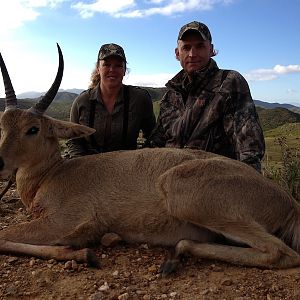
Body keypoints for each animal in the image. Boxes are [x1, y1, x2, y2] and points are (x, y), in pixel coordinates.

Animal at [0, 44, 300, 274]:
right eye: (3, 124)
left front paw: (83, 252)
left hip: (185, 195)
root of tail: (288, 202)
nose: (0, 163)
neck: (52, 175)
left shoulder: (64, 221)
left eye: (33, 129)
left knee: (282, 253)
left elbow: (4, 237)